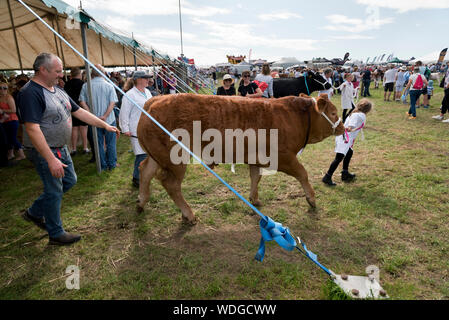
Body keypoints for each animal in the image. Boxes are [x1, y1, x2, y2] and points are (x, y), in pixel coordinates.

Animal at [136, 92, 344, 224]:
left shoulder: (256, 158)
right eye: (333, 113)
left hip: (156, 157)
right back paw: (189, 215)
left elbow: (255, 177)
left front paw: (254, 199)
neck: (293, 117)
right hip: (175, 159)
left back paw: (141, 203)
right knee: (170, 184)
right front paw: (311, 199)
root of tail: (153, 101)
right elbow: (302, 173)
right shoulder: (284, 157)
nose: (344, 128)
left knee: (145, 171)